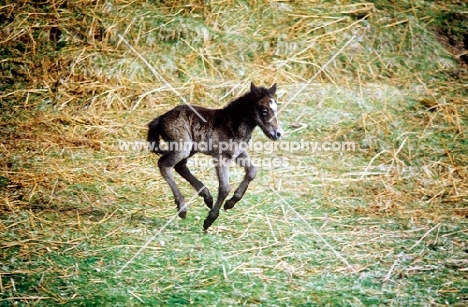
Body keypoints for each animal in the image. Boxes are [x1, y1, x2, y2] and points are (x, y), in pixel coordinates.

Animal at [148, 82, 284, 231]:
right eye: (264, 111)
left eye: (276, 109)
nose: (278, 134)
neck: (232, 122)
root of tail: (161, 117)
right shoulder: (220, 156)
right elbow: (224, 187)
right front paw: (209, 220)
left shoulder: (238, 153)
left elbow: (252, 171)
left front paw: (230, 203)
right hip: (182, 147)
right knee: (164, 164)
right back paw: (183, 208)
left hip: (191, 149)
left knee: (180, 166)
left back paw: (207, 197)